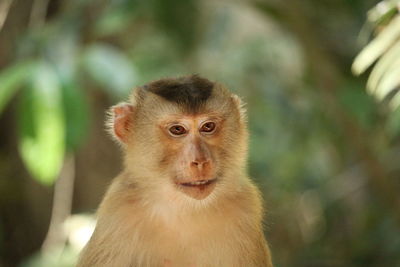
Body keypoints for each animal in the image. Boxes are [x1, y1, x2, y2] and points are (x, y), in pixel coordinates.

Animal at [76, 75, 274, 267]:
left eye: (208, 127)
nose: (200, 161)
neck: (185, 208)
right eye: (177, 129)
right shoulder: (118, 209)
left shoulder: (246, 206)